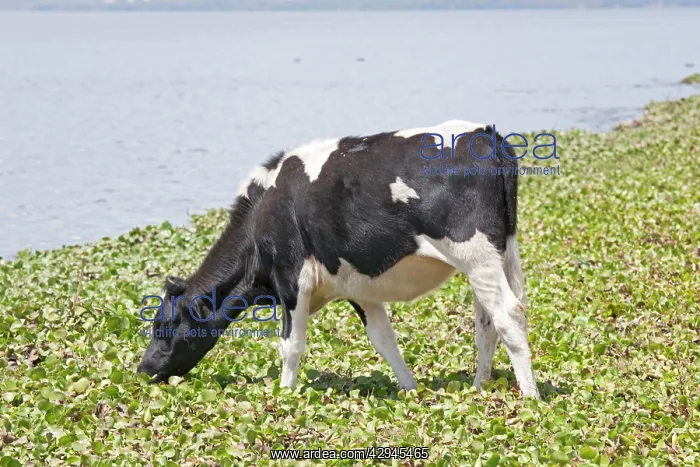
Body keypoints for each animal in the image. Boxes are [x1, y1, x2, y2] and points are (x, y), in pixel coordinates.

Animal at [137, 120, 540, 399]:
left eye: (163, 326)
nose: (143, 369)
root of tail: (487, 134)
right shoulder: (358, 287)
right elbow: (384, 340)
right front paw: (410, 389)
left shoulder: (292, 277)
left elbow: (291, 345)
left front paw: (284, 394)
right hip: (494, 257)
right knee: (486, 323)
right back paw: (479, 386)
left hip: (476, 255)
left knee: (508, 314)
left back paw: (530, 396)